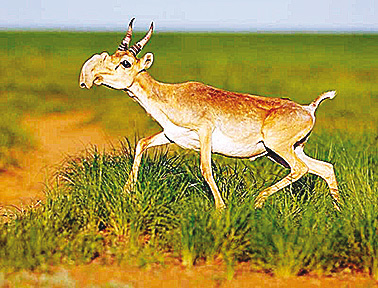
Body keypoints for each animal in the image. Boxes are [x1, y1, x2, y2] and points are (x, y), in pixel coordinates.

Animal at [79, 19, 340, 210]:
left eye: (125, 63)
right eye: (112, 56)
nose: (91, 77)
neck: (170, 95)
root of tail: (308, 109)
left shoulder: (204, 132)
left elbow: (205, 168)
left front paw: (221, 208)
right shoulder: (171, 135)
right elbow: (141, 143)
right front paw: (127, 192)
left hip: (278, 148)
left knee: (300, 169)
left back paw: (258, 201)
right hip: (285, 151)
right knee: (325, 168)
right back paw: (338, 211)